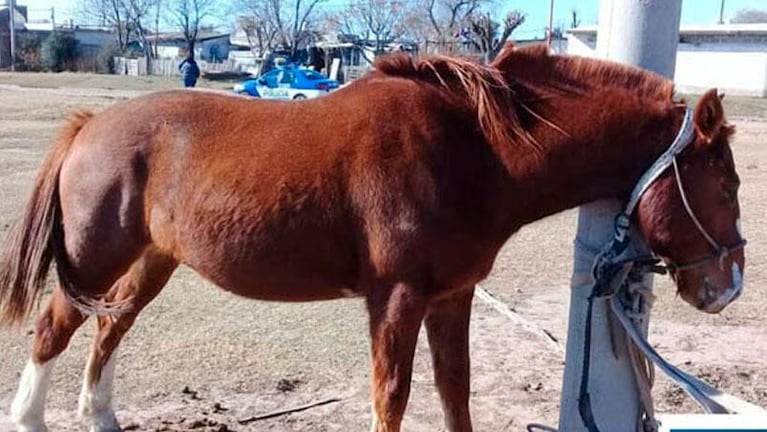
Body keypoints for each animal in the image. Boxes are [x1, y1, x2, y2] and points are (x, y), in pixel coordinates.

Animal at [0, 44, 748, 432]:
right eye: (725, 186)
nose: (727, 286)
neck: (473, 148)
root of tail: (90, 125)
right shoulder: (395, 298)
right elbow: (392, 393)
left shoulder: (450, 297)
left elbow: (454, 389)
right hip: (96, 260)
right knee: (53, 330)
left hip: (148, 264)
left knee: (109, 328)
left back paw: (100, 415)